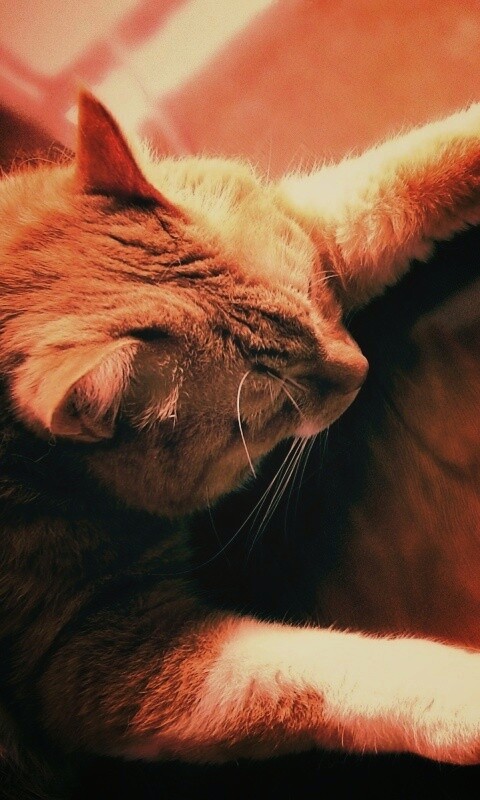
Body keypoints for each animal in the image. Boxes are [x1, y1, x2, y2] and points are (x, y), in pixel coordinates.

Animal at [1, 90, 480, 798]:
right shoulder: (99, 661)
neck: (60, 479)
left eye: (317, 294)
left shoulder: (317, 222)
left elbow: (418, 169)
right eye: (269, 411)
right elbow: (315, 679)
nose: (362, 368)